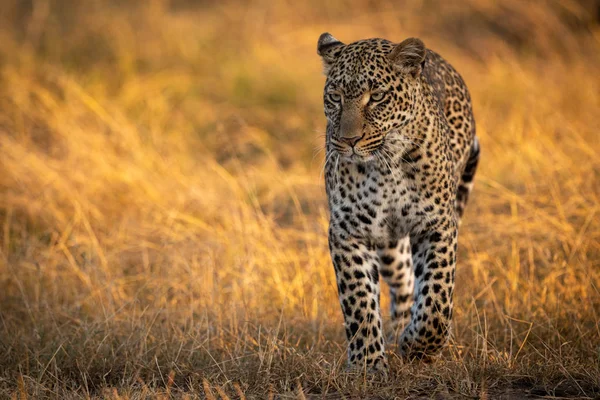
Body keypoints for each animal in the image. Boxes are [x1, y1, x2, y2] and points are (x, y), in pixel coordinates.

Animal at [316, 32, 480, 374]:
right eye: (335, 97)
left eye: (377, 97)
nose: (348, 140)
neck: (386, 165)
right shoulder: (348, 231)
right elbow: (359, 300)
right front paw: (367, 364)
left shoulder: (437, 225)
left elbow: (437, 296)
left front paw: (420, 347)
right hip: (390, 247)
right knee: (404, 282)